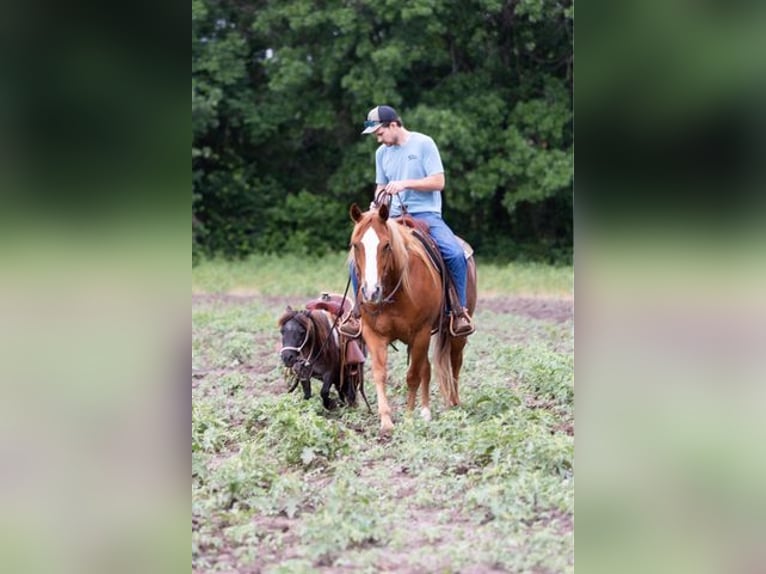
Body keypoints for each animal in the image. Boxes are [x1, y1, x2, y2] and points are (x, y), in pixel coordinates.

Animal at [350, 205, 480, 434]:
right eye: (356, 245)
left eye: (386, 245)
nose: (371, 292)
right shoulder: (374, 334)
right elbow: (380, 373)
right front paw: (386, 421)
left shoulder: (420, 332)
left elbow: (412, 376)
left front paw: (409, 417)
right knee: (427, 367)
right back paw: (426, 411)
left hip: (455, 334)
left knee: (455, 362)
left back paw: (454, 404)